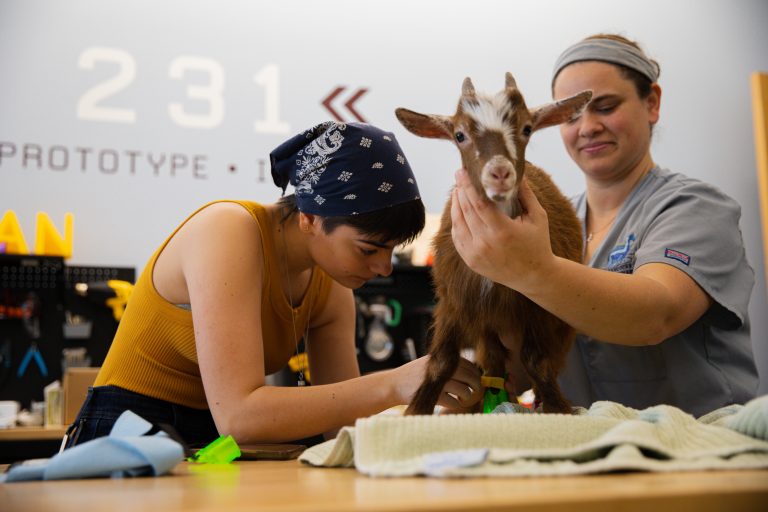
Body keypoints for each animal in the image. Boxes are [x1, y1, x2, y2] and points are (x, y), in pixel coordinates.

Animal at [396, 72, 588, 414]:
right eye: (459, 135)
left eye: (527, 128)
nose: (499, 173)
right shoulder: (455, 302)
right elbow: (441, 361)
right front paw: (417, 411)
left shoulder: (536, 309)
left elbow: (537, 361)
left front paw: (558, 408)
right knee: (495, 362)